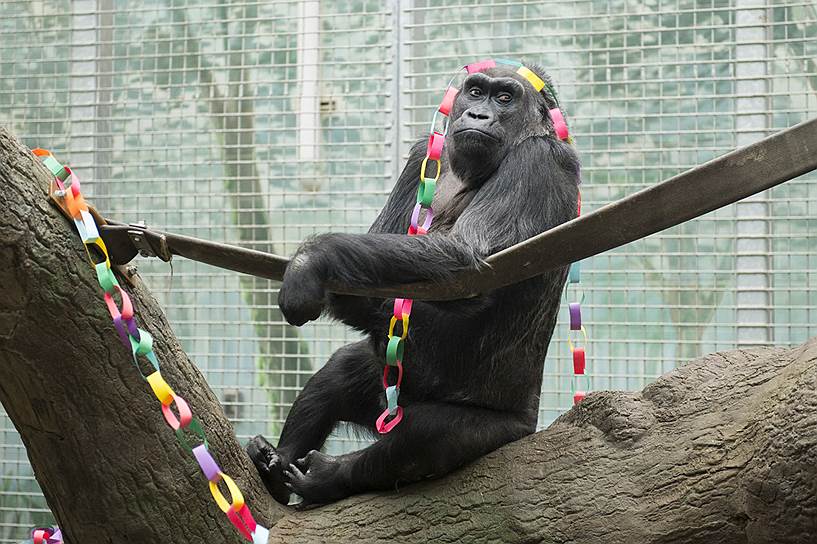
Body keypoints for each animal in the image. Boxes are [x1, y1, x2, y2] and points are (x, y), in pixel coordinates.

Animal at [245, 59, 576, 506]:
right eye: (476, 92)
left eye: (505, 98)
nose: (478, 114)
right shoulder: (422, 156)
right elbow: (386, 242)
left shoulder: (540, 160)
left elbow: (465, 259)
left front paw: (312, 261)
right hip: (385, 389)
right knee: (340, 374)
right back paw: (278, 463)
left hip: (503, 429)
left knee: (424, 436)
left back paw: (329, 477)